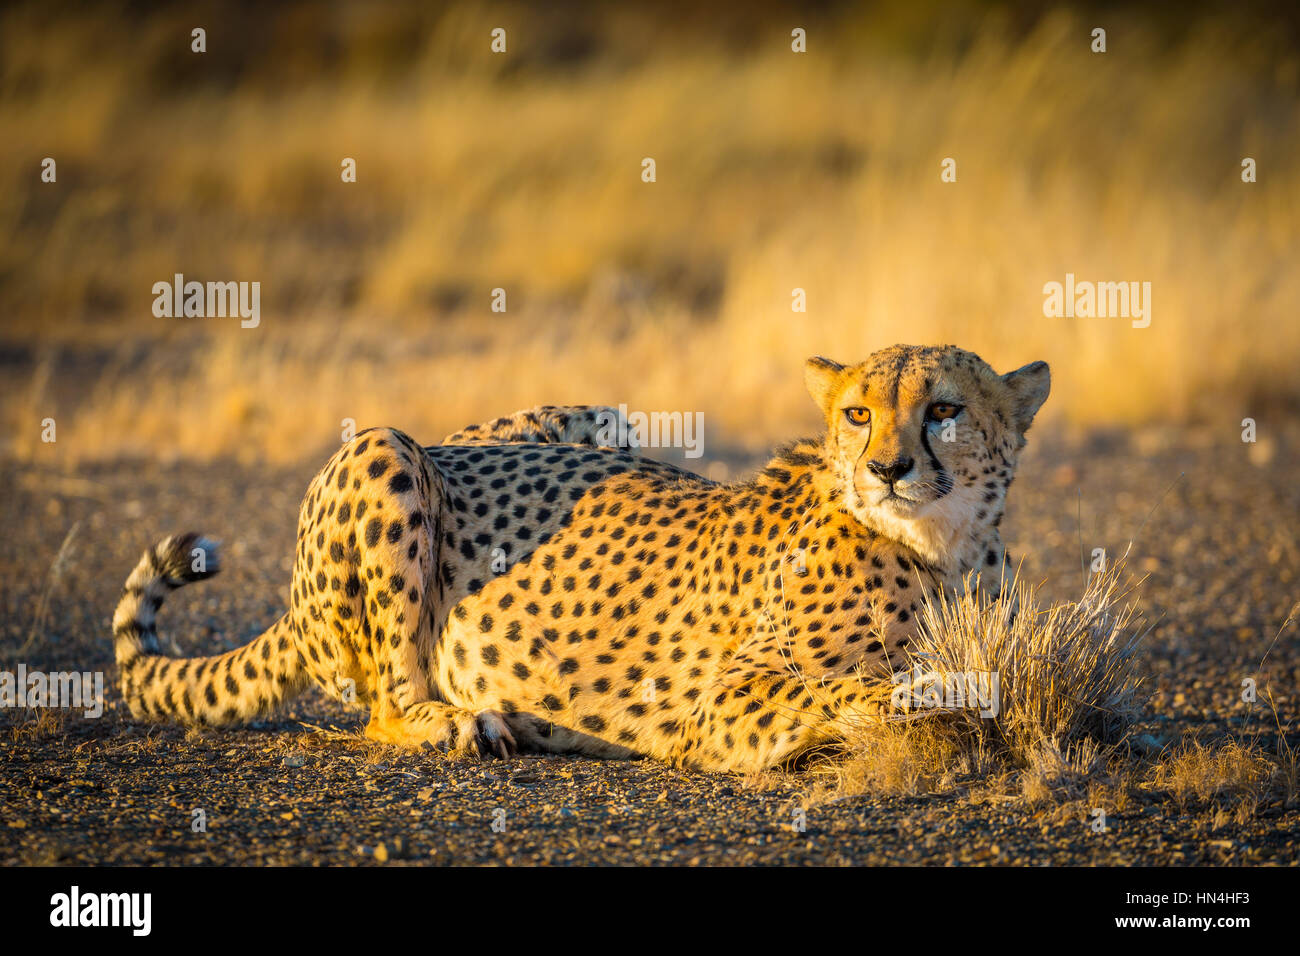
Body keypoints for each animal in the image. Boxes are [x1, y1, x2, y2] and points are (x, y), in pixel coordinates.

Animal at [109, 345, 1050, 773]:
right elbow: (864, 689)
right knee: (383, 706)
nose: (886, 468)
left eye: (943, 410)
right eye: (858, 413)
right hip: (385, 449)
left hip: (595, 419)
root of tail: (449, 440)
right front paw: (932, 701)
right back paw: (460, 720)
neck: (945, 549)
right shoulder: (721, 702)